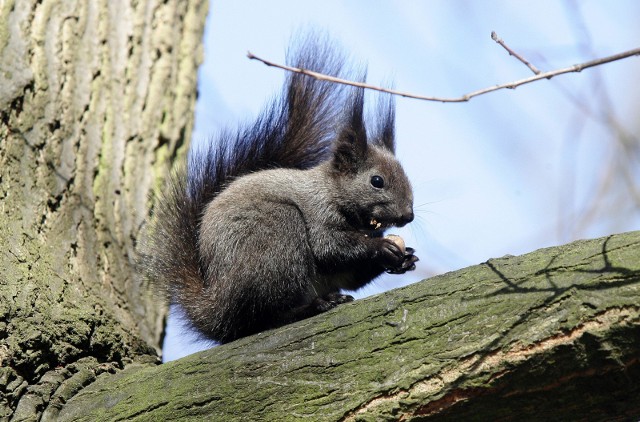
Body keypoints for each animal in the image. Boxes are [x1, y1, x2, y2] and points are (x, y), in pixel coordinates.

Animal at [142, 36, 418, 344]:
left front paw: (405, 258)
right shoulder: (318, 211)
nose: (408, 216)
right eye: (376, 181)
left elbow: (350, 274)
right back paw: (315, 306)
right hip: (277, 238)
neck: (332, 191)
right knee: (263, 318)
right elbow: (329, 247)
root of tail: (217, 309)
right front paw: (381, 247)